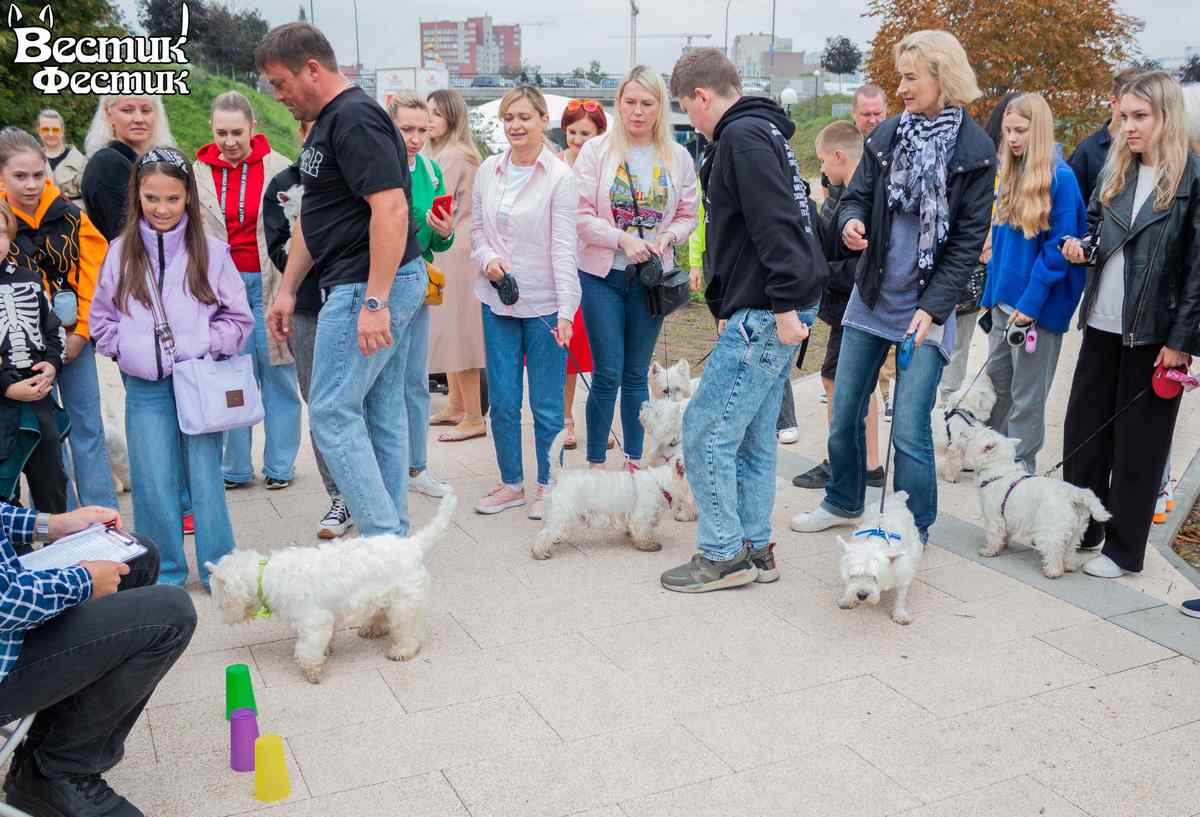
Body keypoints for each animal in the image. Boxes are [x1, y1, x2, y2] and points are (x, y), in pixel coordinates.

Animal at [208, 491, 456, 681]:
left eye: (220, 599)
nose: (221, 619)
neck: (265, 574)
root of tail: (413, 545)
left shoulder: (313, 621)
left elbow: (307, 648)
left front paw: (312, 671)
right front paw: (326, 652)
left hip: (403, 603)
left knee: (408, 631)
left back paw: (401, 650)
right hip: (385, 597)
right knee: (382, 614)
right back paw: (371, 628)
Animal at [535, 427, 696, 561]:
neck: (660, 482)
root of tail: (560, 474)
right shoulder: (641, 516)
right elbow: (642, 532)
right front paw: (648, 544)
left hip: (554, 511)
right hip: (562, 513)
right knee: (544, 534)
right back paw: (540, 552)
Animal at [835, 491, 926, 623]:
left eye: (874, 577)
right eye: (853, 576)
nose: (861, 595)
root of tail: (896, 498)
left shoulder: (903, 570)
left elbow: (901, 595)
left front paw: (900, 614)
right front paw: (847, 600)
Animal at [960, 427, 1108, 580]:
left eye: (974, 432)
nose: (962, 431)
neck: (999, 471)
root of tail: (1072, 493)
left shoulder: (994, 518)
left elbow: (993, 535)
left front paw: (989, 551)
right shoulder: (1008, 518)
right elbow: (1005, 534)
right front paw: (1004, 545)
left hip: (1051, 530)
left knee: (1054, 550)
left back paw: (1052, 571)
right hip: (1076, 531)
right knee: (1070, 549)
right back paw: (1069, 566)